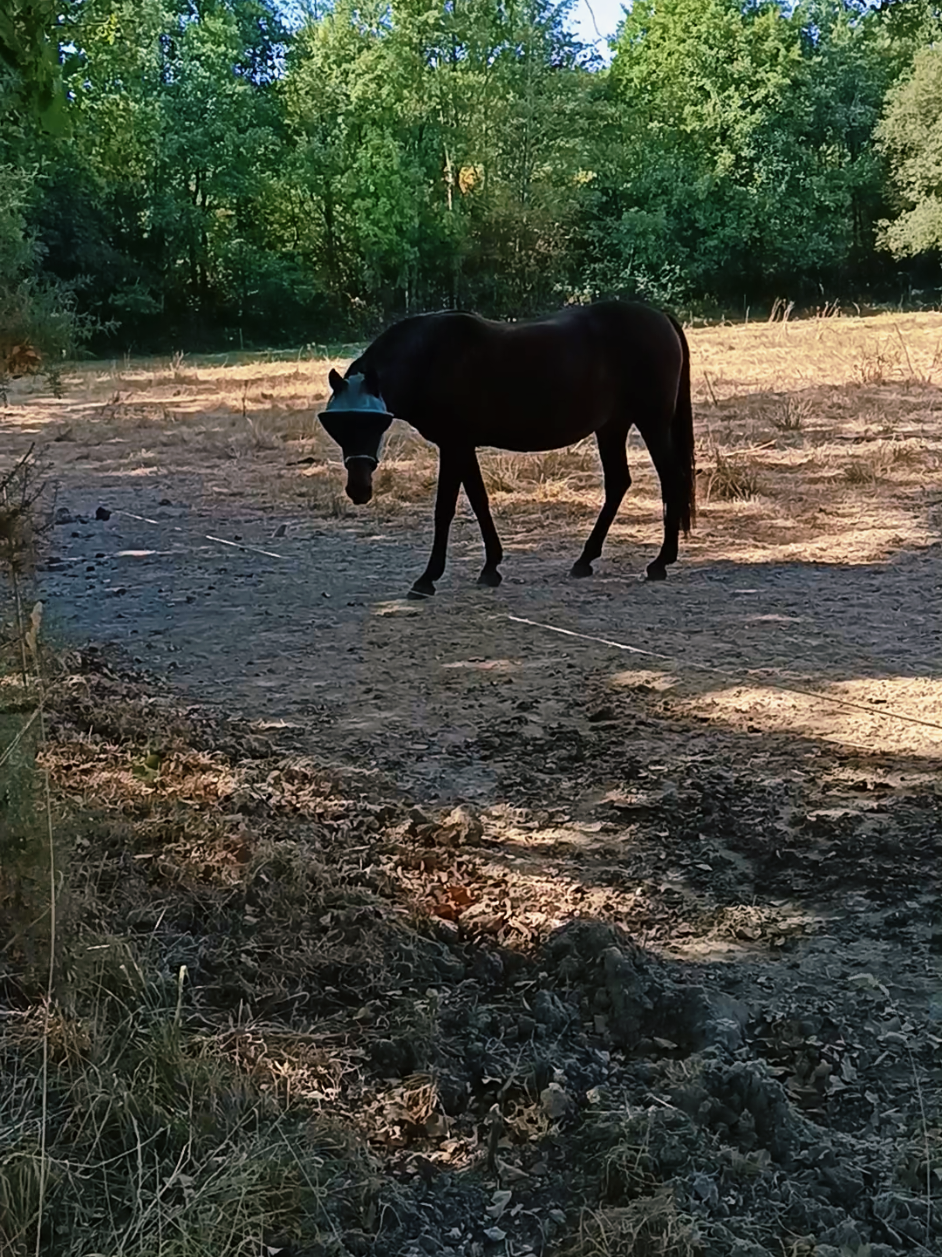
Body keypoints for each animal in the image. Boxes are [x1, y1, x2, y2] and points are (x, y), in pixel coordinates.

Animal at [318, 300, 695, 599]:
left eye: (373, 424)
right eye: (338, 426)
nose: (359, 490)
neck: (429, 357)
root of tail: (660, 316)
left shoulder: (453, 444)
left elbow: (445, 509)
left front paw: (427, 578)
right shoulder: (462, 446)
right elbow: (479, 500)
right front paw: (490, 567)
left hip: (651, 423)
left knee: (672, 478)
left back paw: (660, 562)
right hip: (612, 427)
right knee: (619, 483)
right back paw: (585, 559)